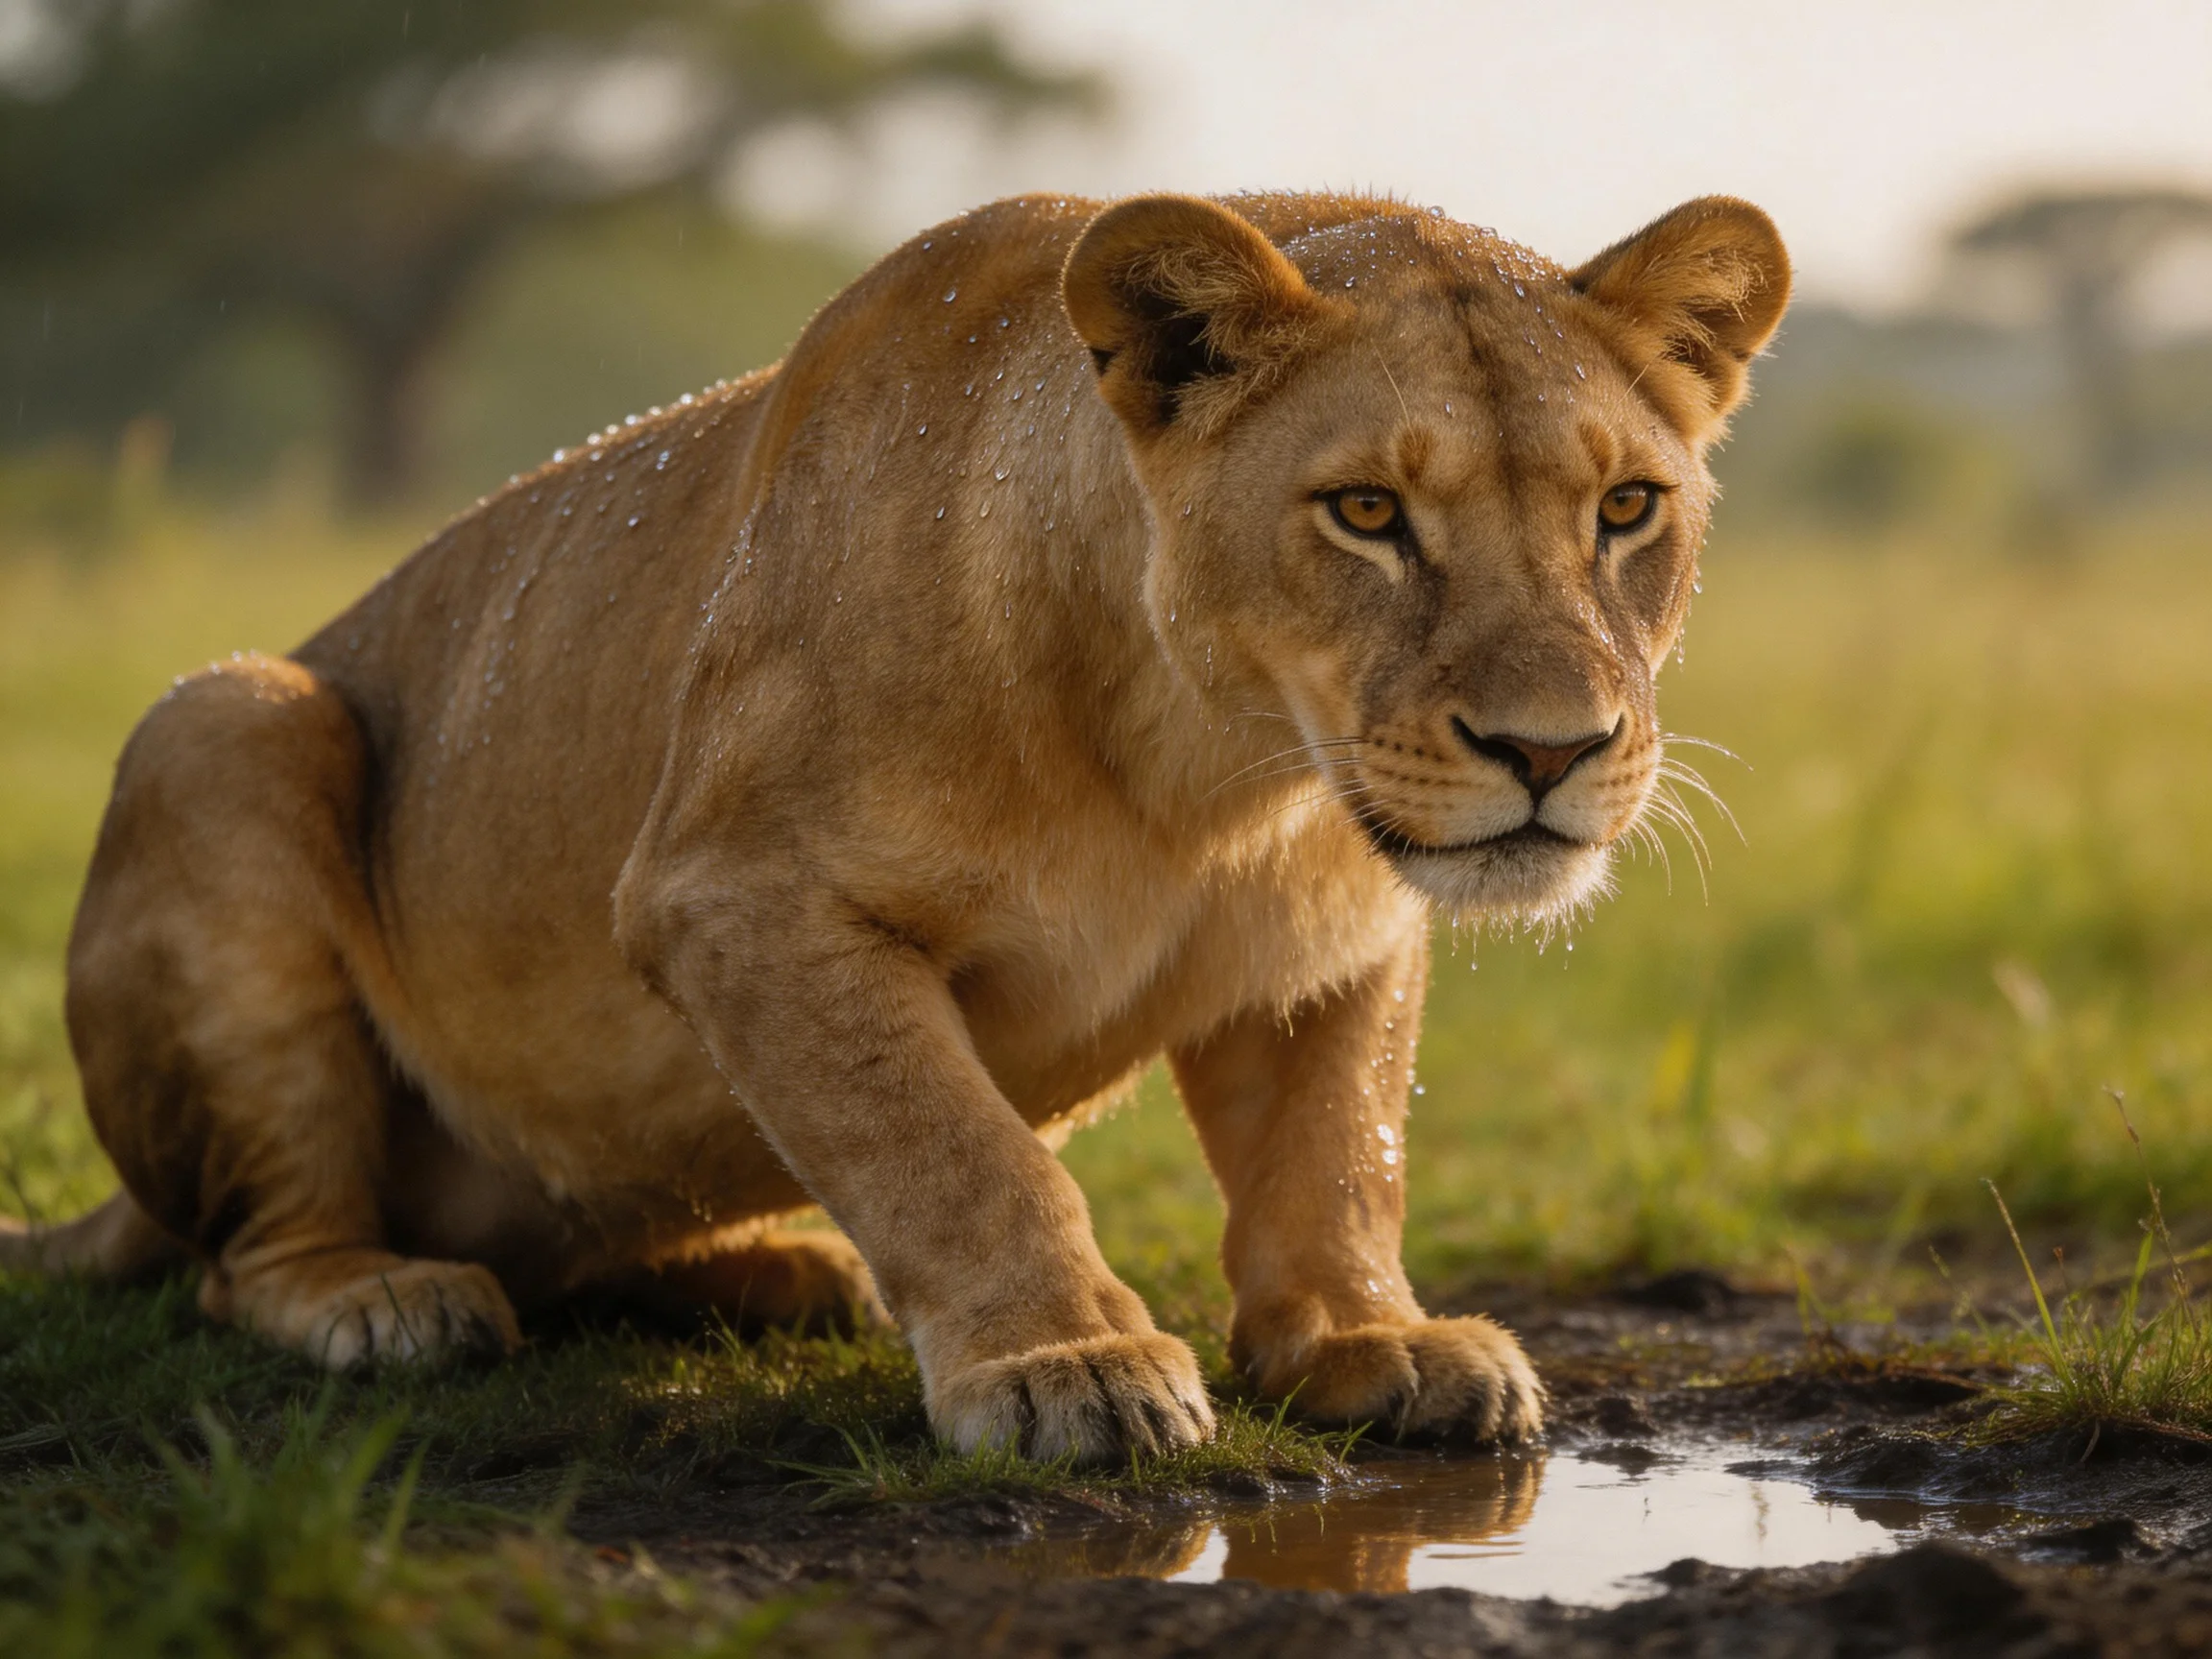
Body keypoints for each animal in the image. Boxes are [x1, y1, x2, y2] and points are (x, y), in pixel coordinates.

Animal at [1, 190, 1786, 1460]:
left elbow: (1337, 1152)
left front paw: (1369, 1341)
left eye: (1625, 508)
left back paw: (785, 1269)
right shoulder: (730, 893)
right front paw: (1070, 1363)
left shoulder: (1335, 932)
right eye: (1365, 512)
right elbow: (948, 1142)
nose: (1551, 750)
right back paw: (385, 1297)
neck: (1218, 777)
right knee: (244, 1253)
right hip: (231, 722)